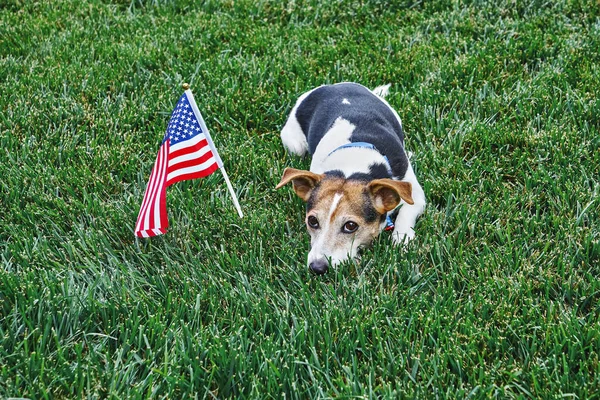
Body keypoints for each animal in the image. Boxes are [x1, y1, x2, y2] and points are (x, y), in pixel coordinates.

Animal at [276, 82, 426, 274]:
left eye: (350, 226)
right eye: (312, 221)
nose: (317, 268)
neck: (353, 165)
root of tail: (335, 86)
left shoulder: (416, 195)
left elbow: (406, 214)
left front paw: (403, 239)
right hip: (294, 145)